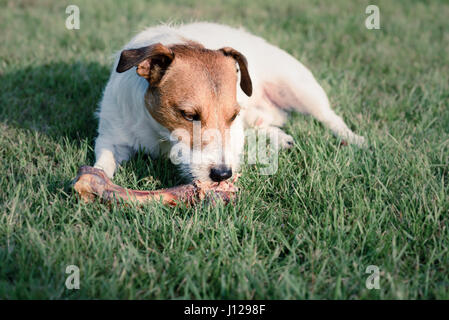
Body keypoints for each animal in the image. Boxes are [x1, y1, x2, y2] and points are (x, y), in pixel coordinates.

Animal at [93, 21, 364, 182]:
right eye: (188, 115)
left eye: (232, 116)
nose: (222, 175)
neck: (159, 133)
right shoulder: (110, 137)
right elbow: (103, 161)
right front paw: (95, 182)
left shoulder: (234, 134)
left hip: (300, 88)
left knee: (329, 116)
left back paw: (353, 138)